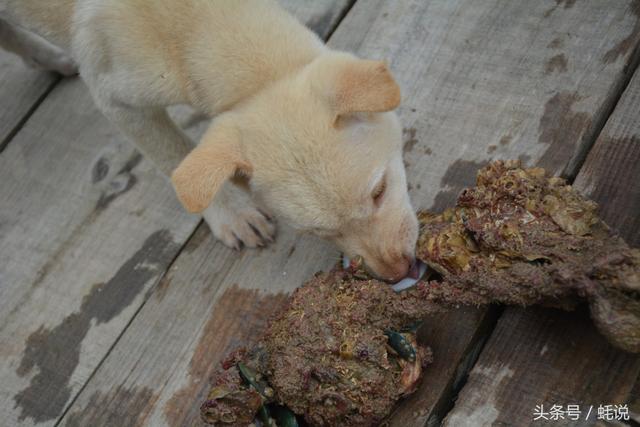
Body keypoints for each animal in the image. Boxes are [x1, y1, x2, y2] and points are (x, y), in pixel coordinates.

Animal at [1, 0, 420, 282]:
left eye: (379, 192)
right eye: (318, 233)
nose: (398, 273)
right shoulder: (113, 96)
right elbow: (175, 157)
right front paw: (231, 214)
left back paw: (47, 58)